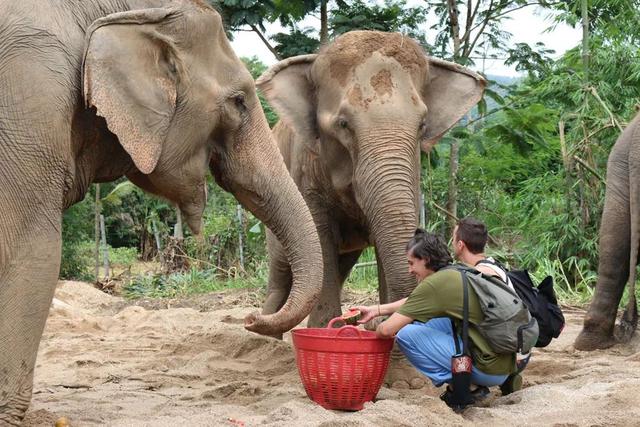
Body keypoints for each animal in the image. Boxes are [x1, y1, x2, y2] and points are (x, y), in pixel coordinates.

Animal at [258, 30, 482, 332]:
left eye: (422, 124)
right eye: (343, 124)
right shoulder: (304, 169)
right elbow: (320, 237)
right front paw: (324, 329)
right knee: (281, 272)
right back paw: (262, 330)